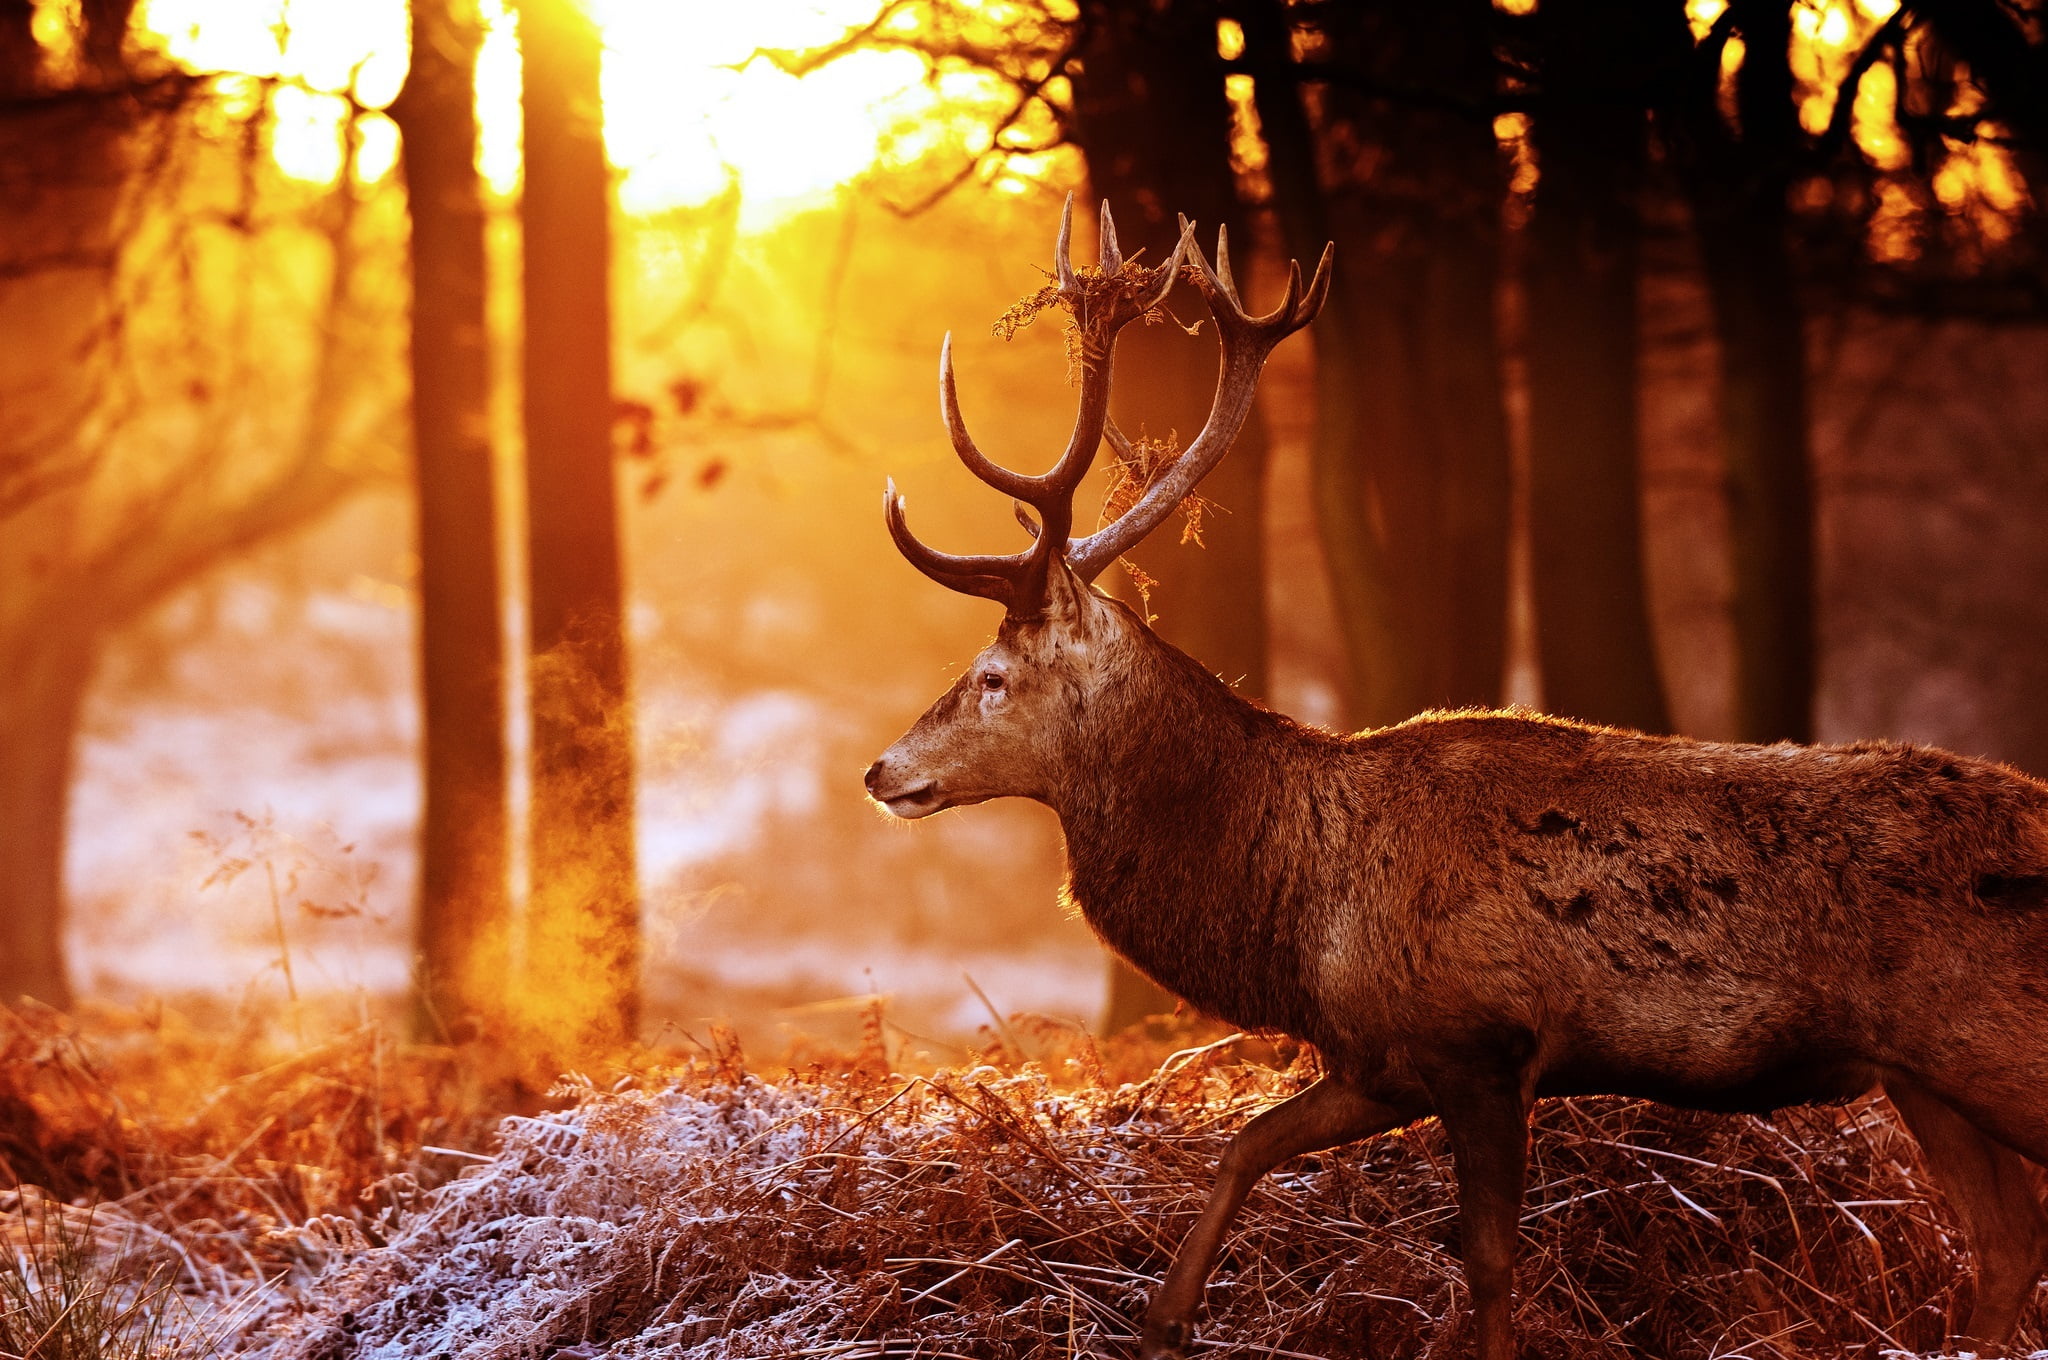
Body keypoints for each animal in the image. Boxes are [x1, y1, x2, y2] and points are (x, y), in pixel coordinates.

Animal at [862, 196, 2048, 1359]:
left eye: (992, 677)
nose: (880, 770)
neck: (1300, 908)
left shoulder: (1479, 1039)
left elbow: (1485, 1264)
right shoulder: (1380, 1052)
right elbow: (1245, 1143)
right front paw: (1162, 1322)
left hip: (1993, 1045)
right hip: (1923, 1078)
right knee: (2004, 1250)